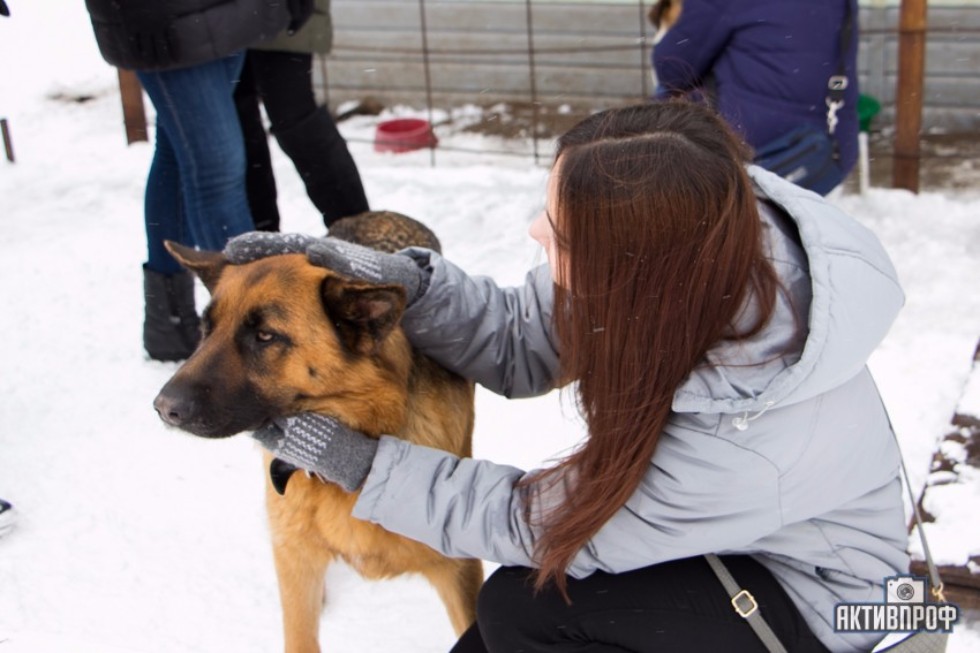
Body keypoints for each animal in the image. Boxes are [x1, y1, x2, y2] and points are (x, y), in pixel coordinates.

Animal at [152, 213, 482, 652]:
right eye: (207, 328)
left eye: (265, 336)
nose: (163, 407)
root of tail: (381, 215)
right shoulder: (296, 565)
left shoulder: (458, 571)